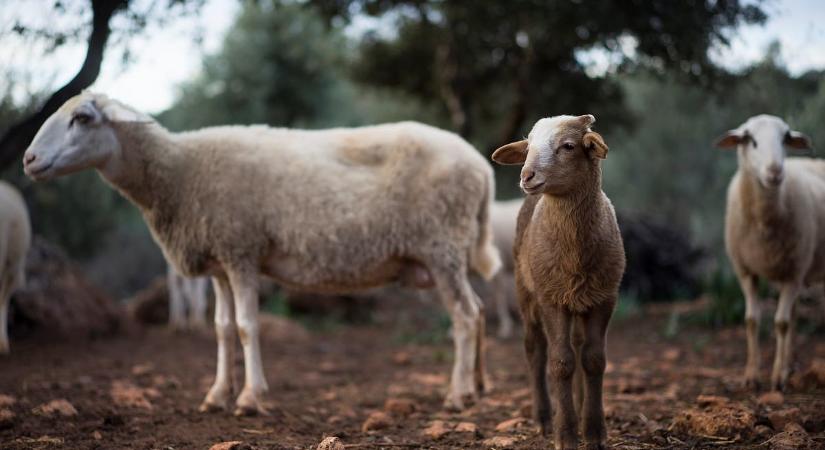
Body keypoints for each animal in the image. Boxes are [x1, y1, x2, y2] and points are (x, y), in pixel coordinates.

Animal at [24, 92, 502, 414]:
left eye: (82, 118)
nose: (28, 160)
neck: (179, 171)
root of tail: (480, 165)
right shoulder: (219, 262)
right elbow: (221, 329)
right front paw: (217, 394)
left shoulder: (242, 252)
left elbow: (247, 326)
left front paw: (251, 398)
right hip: (450, 250)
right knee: (478, 311)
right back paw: (478, 386)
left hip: (441, 245)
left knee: (464, 317)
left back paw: (457, 395)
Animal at [492, 115, 620, 450]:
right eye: (527, 148)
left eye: (569, 146)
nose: (527, 175)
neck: (575, 255)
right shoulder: (551, 299)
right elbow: (560, 363)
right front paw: (566, 435)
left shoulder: (605, 298)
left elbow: (594, 360)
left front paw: (594, 432)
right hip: (527, 292)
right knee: (535, 350)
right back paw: (544, 419)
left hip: (579, 299)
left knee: (578, 346)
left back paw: (579, 404)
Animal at [716, 113, 816, 390]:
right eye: (750, 140)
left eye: (785, 138)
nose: (775, 171)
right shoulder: (745, 271)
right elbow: (751, 320)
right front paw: (751, 375)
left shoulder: (794, 272)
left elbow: (780, 323)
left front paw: (778, 378)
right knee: (794, 316)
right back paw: (790, 364)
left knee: (788, 319)